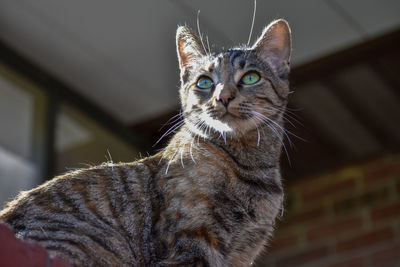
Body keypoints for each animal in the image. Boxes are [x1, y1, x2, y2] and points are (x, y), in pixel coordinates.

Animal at [1, 19, 292, 267]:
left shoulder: (241, 252)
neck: (249, 165)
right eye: (205, 82)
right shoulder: (193, 239)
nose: (223, 97)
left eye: (251, 77)